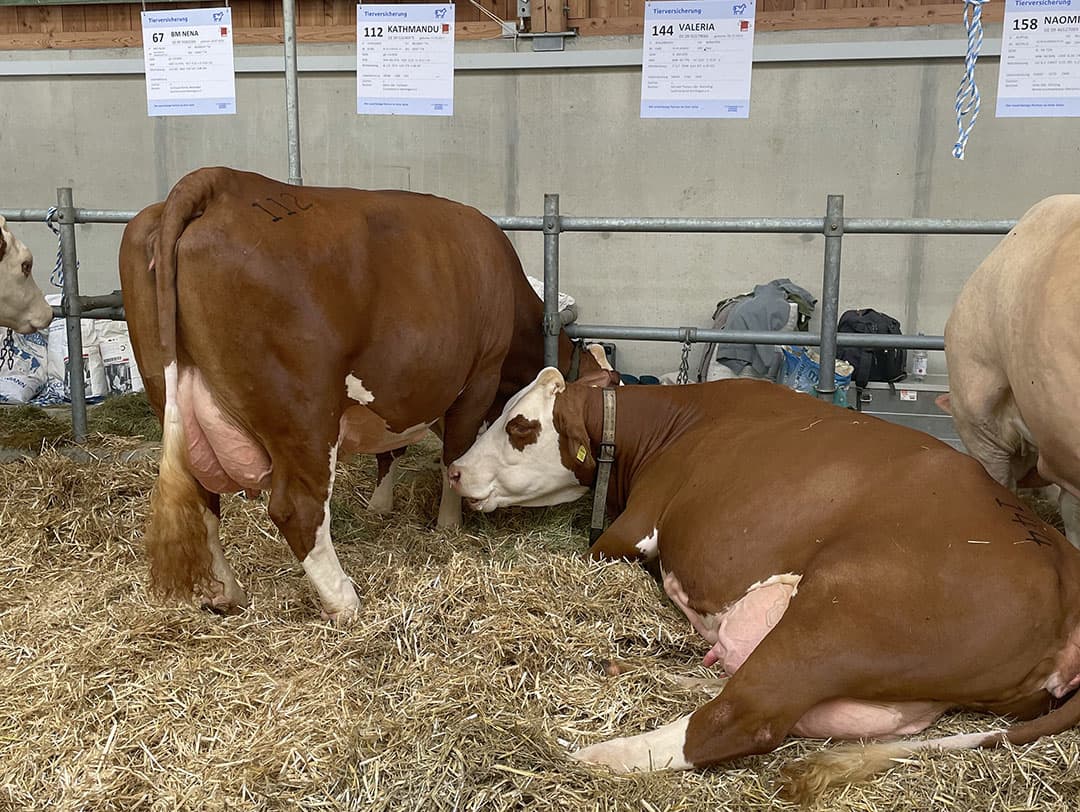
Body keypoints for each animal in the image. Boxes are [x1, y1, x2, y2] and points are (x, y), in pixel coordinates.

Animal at [118, 166, 602, 621]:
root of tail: (222, 181)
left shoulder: (400, 389)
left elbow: (392, 450)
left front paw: (380, 506)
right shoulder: (480, 374)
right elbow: (455, 450)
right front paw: (450, 524)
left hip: (170, 395)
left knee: (203, 497)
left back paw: (225, 592)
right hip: (304, 413)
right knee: (297, 508)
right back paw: (345, 601)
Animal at [447, 370, 1080, 802]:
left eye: (519, 427)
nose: (453, 470)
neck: (672, 424)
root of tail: (1061, 565)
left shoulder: (630, 529)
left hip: (840, 611)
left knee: (741, 716)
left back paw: (596, 754)